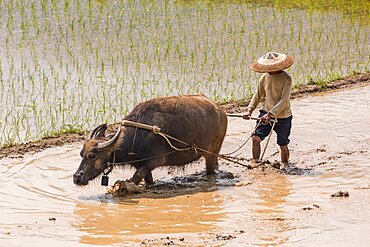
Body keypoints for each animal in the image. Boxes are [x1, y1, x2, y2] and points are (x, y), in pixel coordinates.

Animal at [72, 94, 227, 185]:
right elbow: (146, 179)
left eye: (92, 156)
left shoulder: (156, 160)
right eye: (81, 154)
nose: (77, 177)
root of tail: (220, 110)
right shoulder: (140, 163)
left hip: (212, 152)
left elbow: (136, 177)